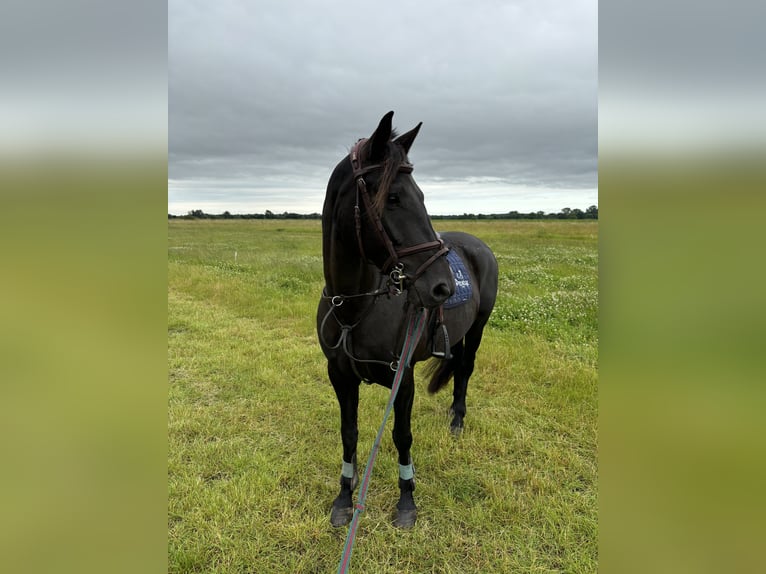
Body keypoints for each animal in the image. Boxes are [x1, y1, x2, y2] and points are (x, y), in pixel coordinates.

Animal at [316, 112, 500, 532]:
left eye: (422, 196)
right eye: (393, 197)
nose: (442, 287)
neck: (354, 308)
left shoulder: (404, 378)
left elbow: (402, 435)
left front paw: (406, 501)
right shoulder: (340, 375)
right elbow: (348, 433)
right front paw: (344, 496)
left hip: (478, 329)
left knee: (465, 370)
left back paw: (457, 422)